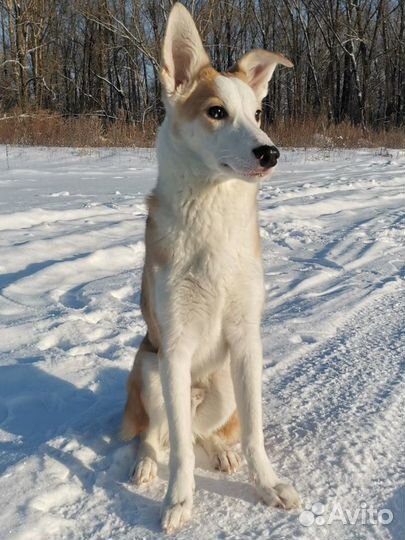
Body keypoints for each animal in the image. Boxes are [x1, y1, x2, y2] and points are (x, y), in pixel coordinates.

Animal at [120, 1, 300, 532]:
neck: (211, 212)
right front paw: (179, 501)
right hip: (149, 368)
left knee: (209, 431)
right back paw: (145, 465)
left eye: (257, 113)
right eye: (216, 112)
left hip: (221, 384)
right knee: (157, 433)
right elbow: (179, 447)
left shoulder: (245, 342)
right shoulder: (175, 349)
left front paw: (267, 485)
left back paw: (221, 452)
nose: (270, 152)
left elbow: (254, 432)